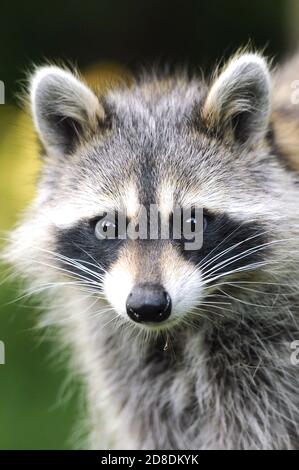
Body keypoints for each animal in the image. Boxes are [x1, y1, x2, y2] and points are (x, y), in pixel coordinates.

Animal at [3, 50, 299, 448]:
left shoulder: (271, 364)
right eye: (107, 226)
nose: (147, 306)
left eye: (192, 224)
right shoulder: (130, 372)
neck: (177, 332)